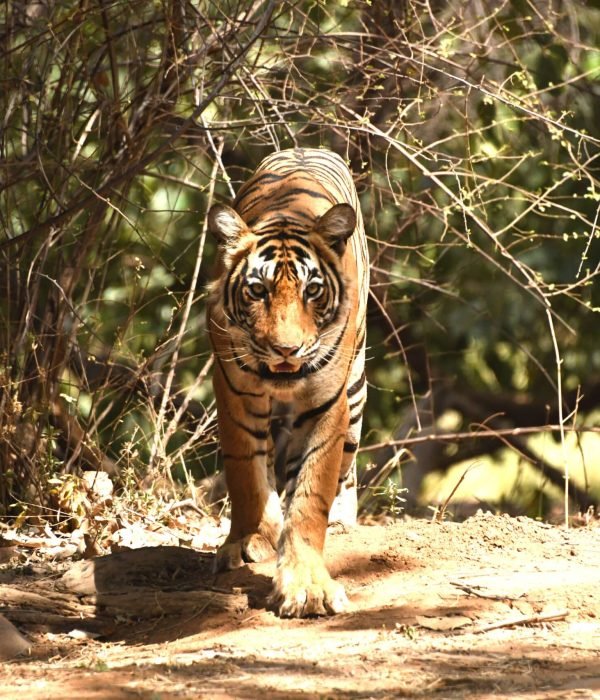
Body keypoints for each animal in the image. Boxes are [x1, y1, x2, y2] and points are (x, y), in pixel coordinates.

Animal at [206, 148, 369, 618]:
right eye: (257, 290)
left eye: (312, 291)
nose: (285, 349)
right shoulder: (235, 395)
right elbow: (246, 476)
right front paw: (249, 540)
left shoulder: (327, 404)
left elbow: (310, 495)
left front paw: (308, 586)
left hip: (355, 390)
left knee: (346, 468)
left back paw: (341, 516)